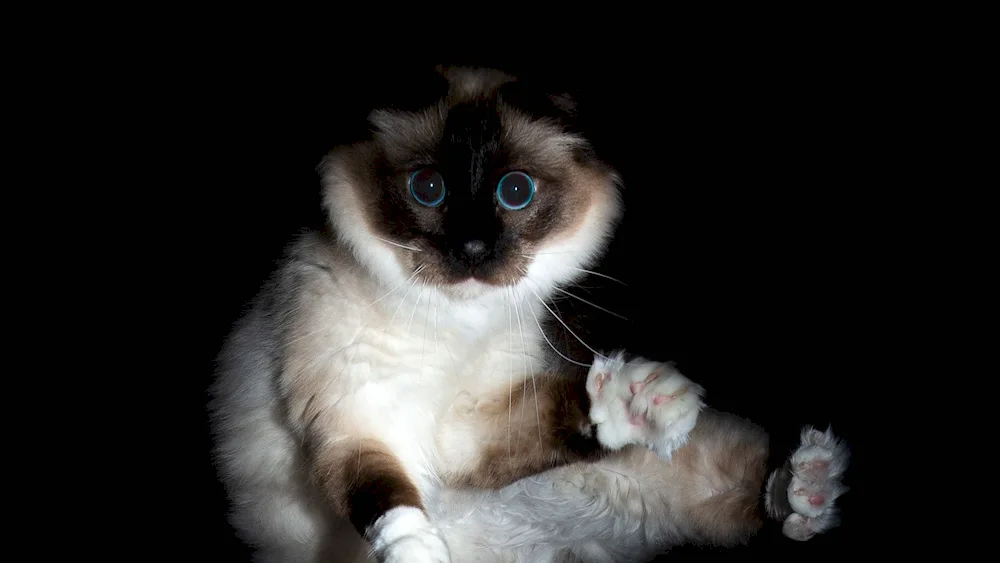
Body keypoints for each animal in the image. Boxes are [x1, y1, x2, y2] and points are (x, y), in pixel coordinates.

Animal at [207, 67, 848, 563]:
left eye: (515, 192)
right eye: (428, 188)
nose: (471, 250)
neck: (453, 326)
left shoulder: (467, 432)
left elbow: (570, 410)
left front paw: (636, 404)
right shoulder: (356, 422)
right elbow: (389, 500)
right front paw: (420, 552)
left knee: (751, 489)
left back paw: (803, 489)